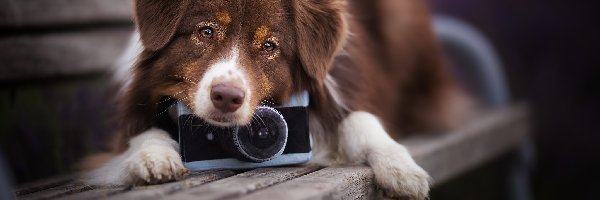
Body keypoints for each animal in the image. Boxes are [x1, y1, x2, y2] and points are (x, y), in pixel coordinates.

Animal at [85, 0, 468, 198]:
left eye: (269, 45)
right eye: (206, 31)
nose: (226, 97)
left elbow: (361, 119)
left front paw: (401, 169)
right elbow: (140, 134)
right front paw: (154, 157)